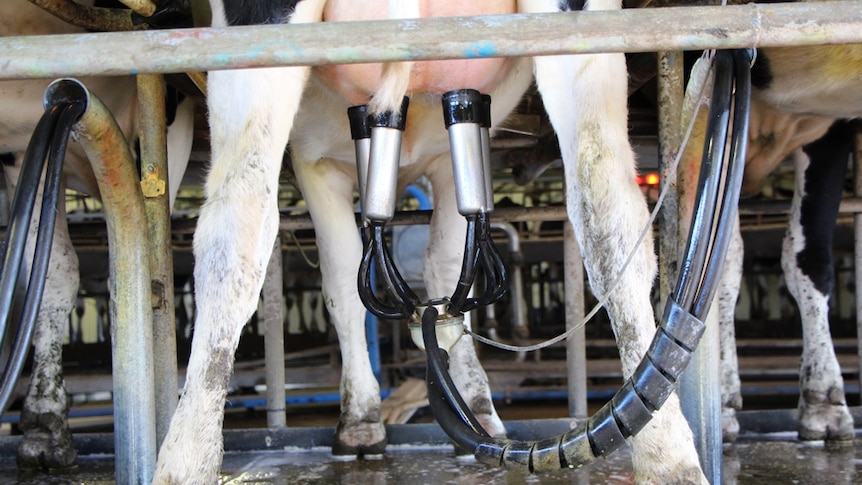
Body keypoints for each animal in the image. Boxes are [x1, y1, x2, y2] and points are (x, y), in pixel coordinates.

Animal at [152, 0, 712, 482]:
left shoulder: (437, 160)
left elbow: (439, 271)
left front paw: (468, 407)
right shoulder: (319, 163)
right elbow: (347, 282)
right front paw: (366, 417)